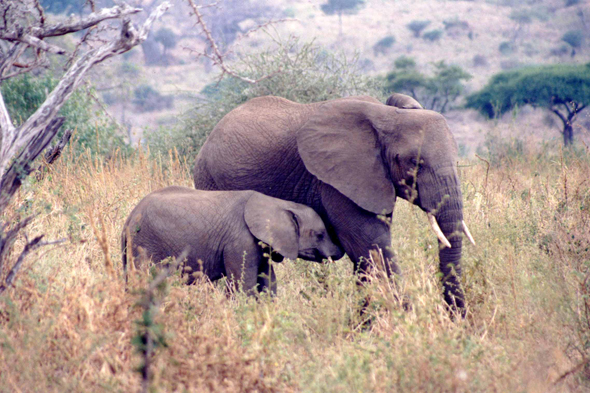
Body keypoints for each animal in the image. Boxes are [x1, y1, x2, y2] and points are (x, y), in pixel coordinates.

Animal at [121, 187, 342, 294]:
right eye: (320, 234)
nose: (340, 252)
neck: (278, 203)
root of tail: (129, 218)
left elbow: (268, 282)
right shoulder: (240, 241)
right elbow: (243, 285)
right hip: (145, 243)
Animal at [194, 94, 476, 312]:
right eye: (415, 163)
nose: (456, 318)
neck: (387, 116)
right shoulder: (335, 181)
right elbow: (369, 244)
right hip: (210, 181)